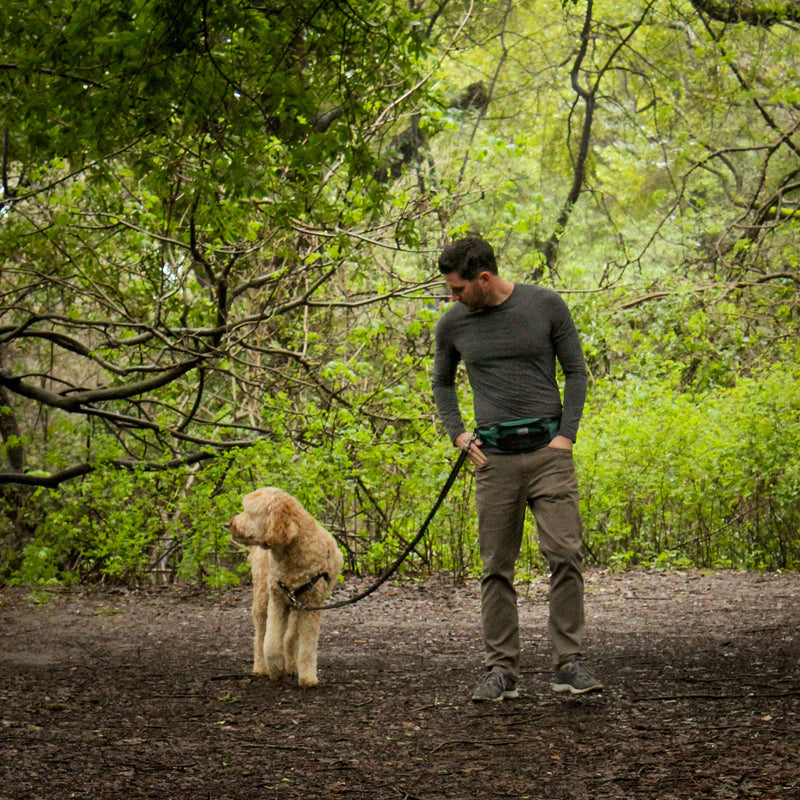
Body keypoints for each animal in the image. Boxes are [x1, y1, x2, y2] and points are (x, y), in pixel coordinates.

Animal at [230, 488, 346, 688]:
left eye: (250, 512)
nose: (230, 524)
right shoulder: (277, 602)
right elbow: (270, 642)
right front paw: (275, 667)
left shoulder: (310, 607)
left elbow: (306, 646)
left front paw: (307, 678)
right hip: (262, 598)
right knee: (260, 635)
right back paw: (261, 666)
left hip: (297, 607)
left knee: (290, 637)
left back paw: (292, 665)